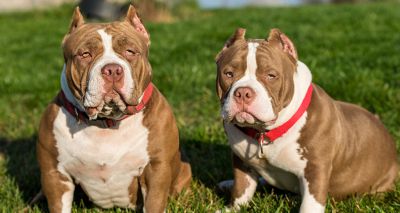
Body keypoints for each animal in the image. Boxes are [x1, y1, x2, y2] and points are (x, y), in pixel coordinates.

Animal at [36, 5, 191, 213]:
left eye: (130, 51)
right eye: (85, 54)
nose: (112, 70)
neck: (106, 123)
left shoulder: (156, 170)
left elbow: (154, 203)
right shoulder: (55, 174)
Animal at [217, 27, 398, 211]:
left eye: (271, 75)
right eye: (228, 73)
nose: (243, 92)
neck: (265, 133)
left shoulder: (315, 169)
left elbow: (310, 204)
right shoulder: (241, 161)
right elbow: (241, 189)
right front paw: (231, 208)